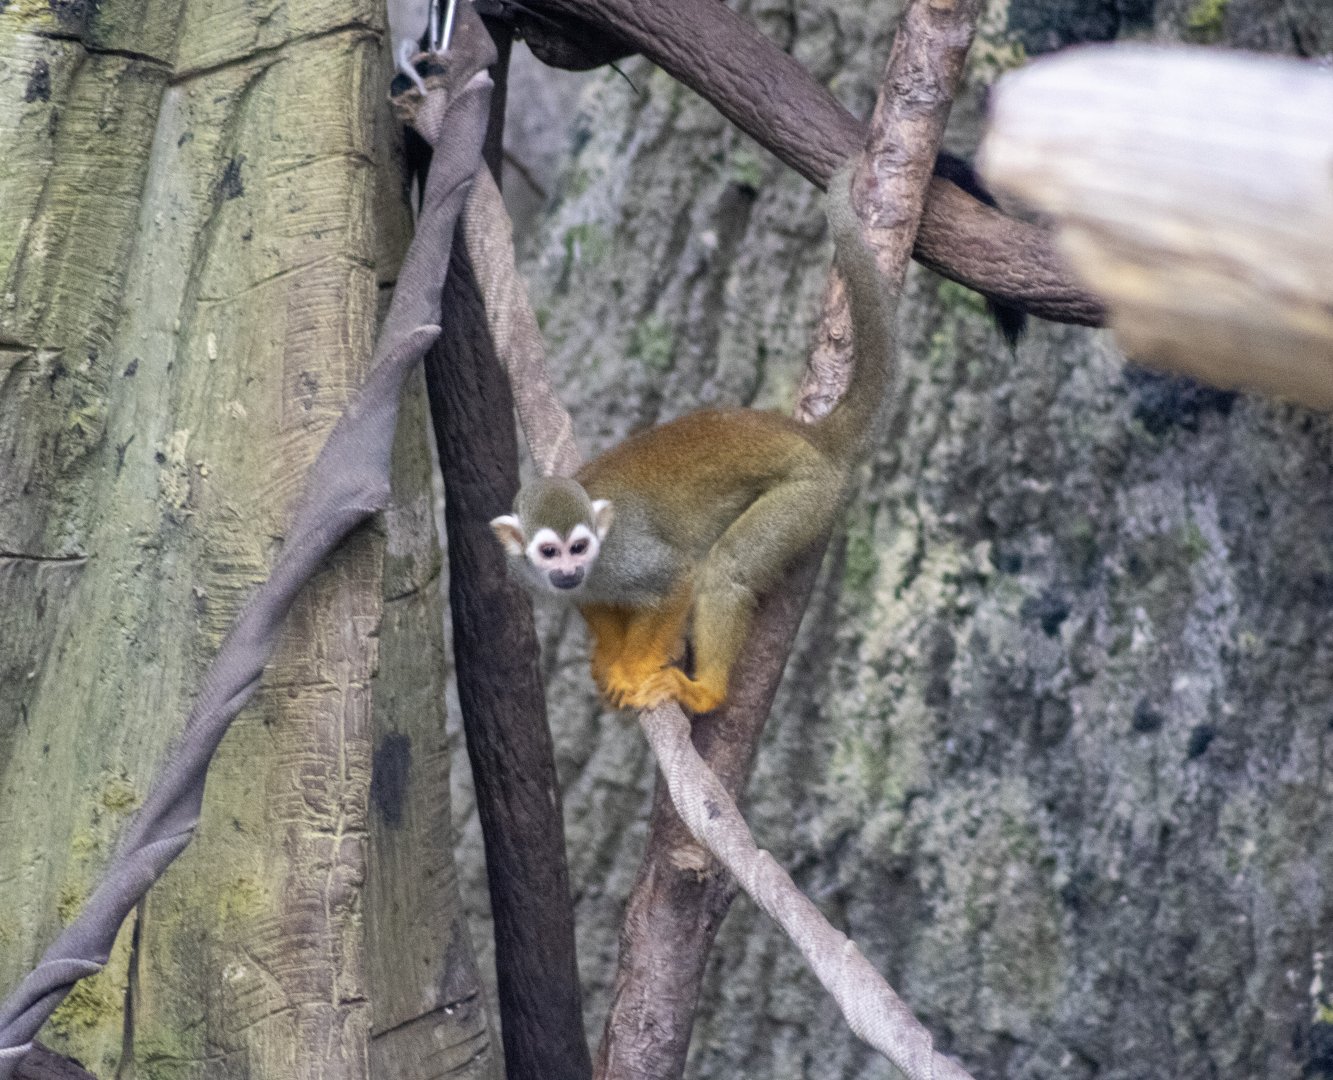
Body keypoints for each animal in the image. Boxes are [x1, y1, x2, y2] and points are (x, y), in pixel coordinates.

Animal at [490, 164, 894, 714]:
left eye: (579, 547)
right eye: (550, 553)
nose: (568, 571)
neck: (594, 563)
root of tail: (804, 434)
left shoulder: (625, 556)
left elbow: (676, 580)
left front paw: (634, 667)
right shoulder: (543, 577)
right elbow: (594, 602)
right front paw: (610, 654)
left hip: (805, 494)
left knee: (725, 568)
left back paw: (706, 693)